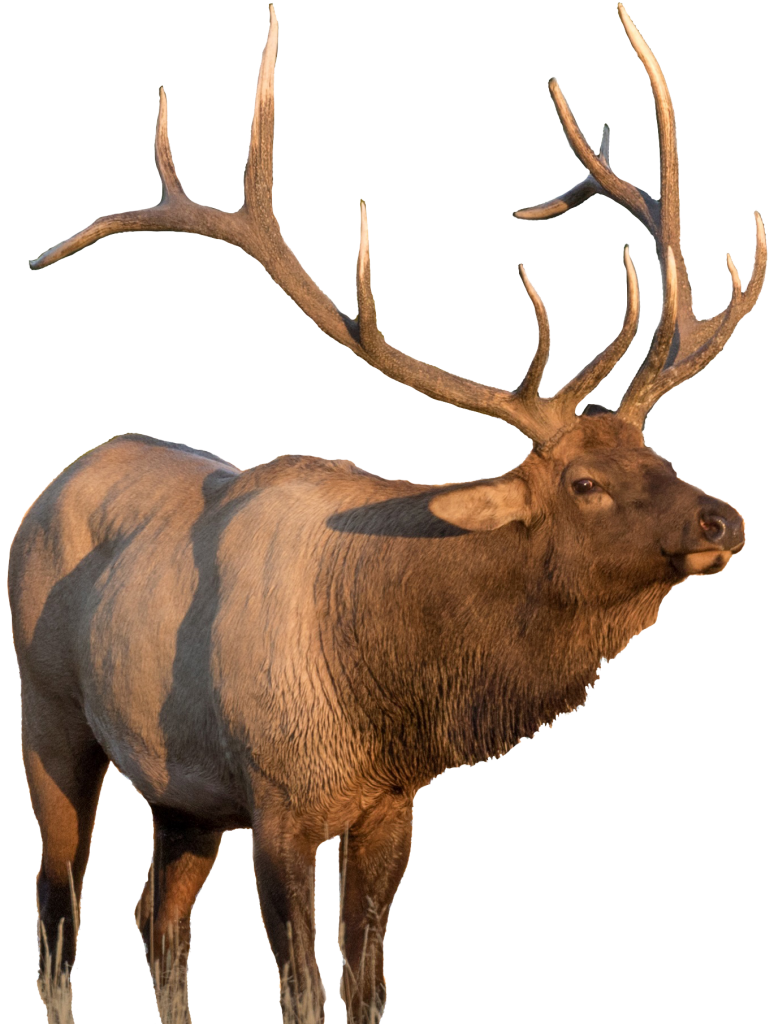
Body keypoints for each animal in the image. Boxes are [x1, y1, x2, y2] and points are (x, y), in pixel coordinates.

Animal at [16, 3, 765, 1023]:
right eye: (584, 484)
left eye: (664, 456)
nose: (722, 521)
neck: (383, 688)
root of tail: (50, 487)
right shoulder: (279, 803)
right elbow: (302, 988)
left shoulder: (390, 804)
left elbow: (365, 982)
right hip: (50, 718)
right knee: (59, 918)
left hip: (184, 793)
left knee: (156, 922)